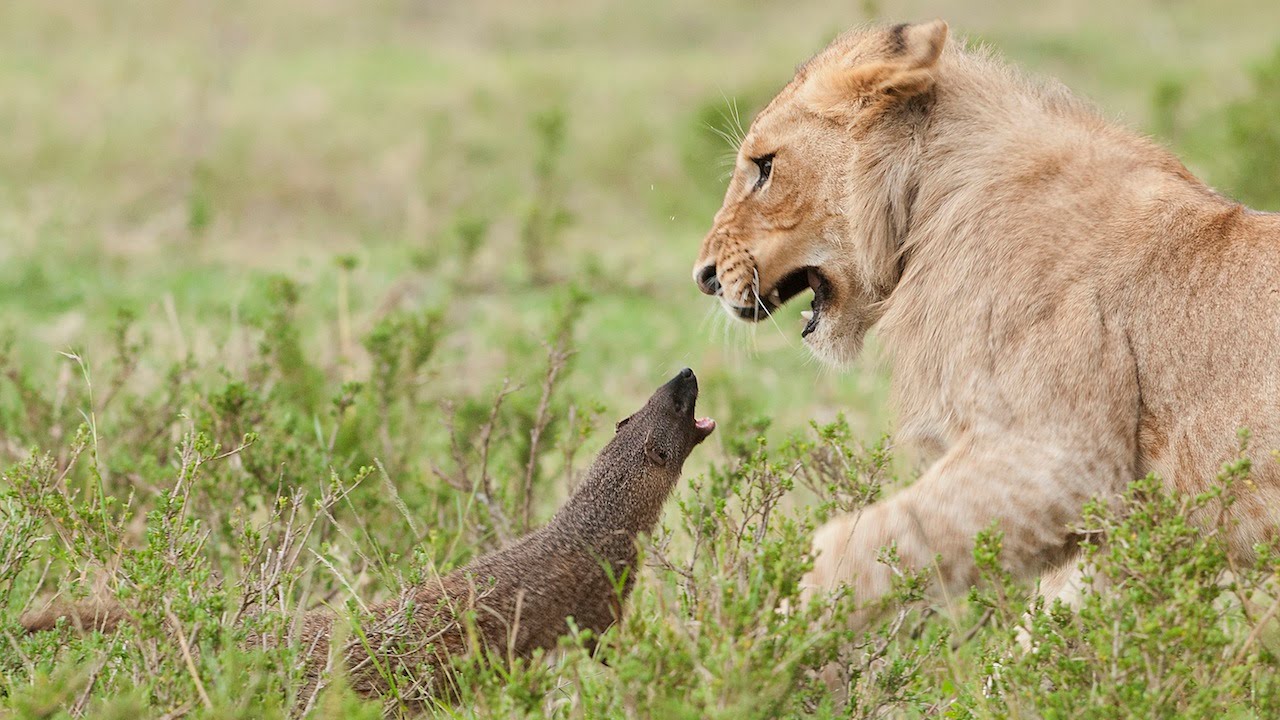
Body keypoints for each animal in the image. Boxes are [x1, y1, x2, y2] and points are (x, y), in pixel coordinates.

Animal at [691, 19, 1280, 625]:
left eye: (765, 167)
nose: (704, 276)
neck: (929, 204)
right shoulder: (1122, 521)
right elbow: (1047, 630)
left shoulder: (1063, 460)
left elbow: (860, 543)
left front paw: (754, 630)